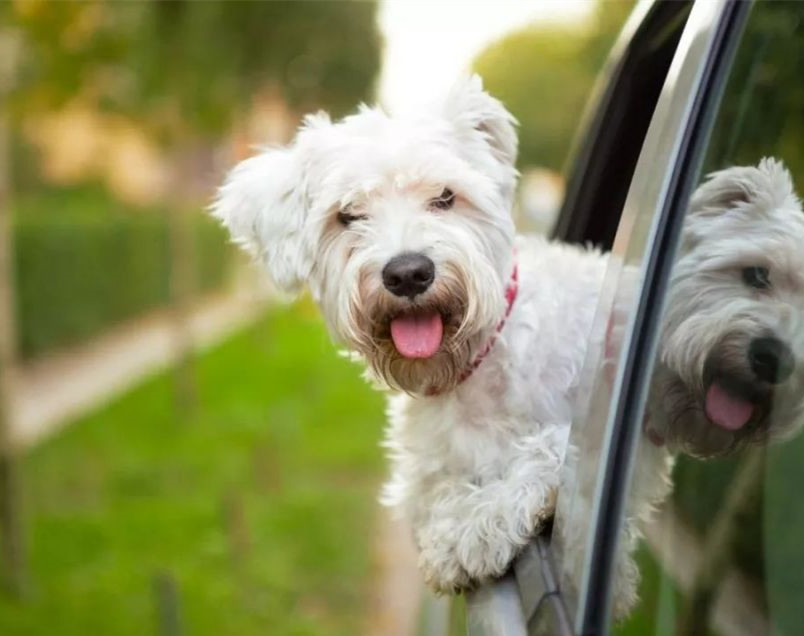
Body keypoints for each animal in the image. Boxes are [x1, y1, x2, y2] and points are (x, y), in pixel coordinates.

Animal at [214, 77, 608, 592]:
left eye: (444, 196)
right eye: (348, 214)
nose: (407, 274)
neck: (472, 371)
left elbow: (549, 449)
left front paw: (477, 527)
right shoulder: (424, 477)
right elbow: (438, 493)